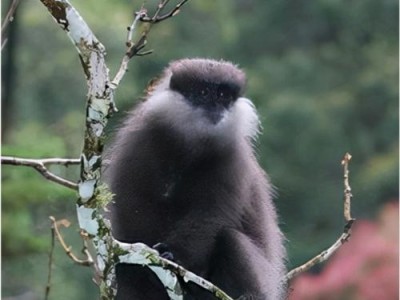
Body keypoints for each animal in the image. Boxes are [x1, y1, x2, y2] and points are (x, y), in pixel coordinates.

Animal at [102, 58, 284, 300]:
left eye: (223, 95)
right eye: (204, 92)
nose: (215, 107)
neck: (191, 145)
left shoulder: (232, 159)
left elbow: (210, 214)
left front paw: (173, 255)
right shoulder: (138, 143)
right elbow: (131, 204)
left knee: (229, 238)